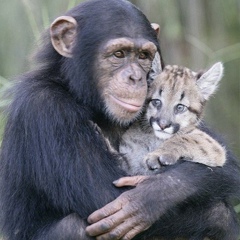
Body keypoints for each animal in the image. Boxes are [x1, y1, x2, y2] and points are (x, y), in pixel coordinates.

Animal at [0, 0, 239, 240]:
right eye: (119, 54)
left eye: (143, 56)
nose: (135, 77)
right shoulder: (44, 105)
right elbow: (105, 194)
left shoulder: (205, 142)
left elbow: (216, 154)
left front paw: (149, 196)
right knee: (74, 225)